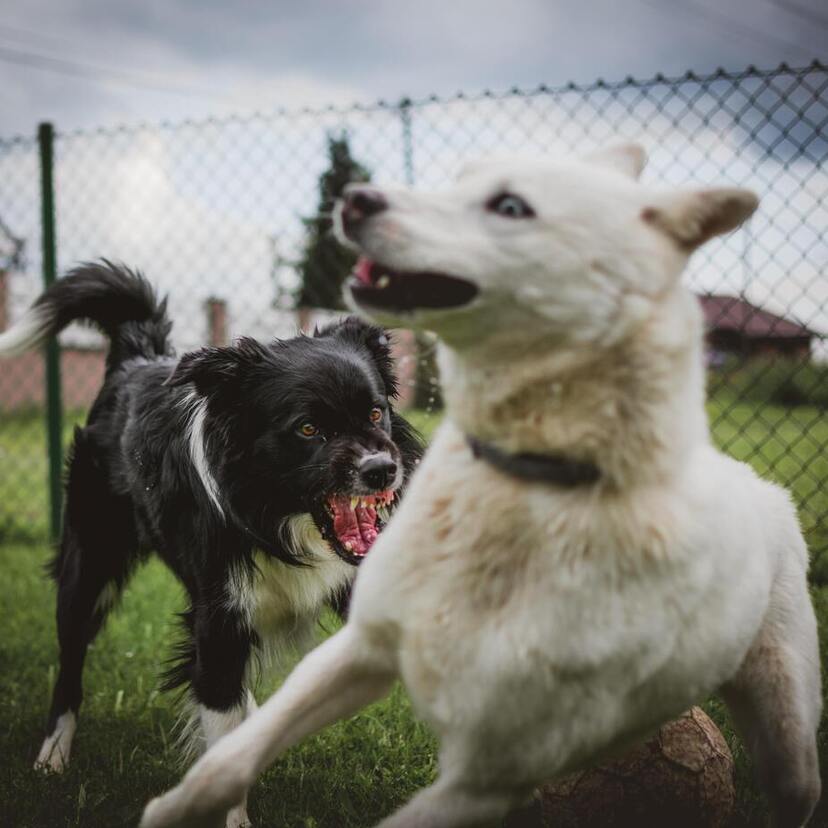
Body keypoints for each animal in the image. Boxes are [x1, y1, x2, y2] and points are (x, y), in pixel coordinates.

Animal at [0, 260, 424, 804]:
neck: (277, 518)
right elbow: (218, 714)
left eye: (375, 412)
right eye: (308, 429)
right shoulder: (218, 621)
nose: (382, 470)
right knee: (70, 666)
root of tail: (137, 358)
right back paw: (52, 757)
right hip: (88, 565)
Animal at [142, 146, 820, 824]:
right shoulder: (325, 639)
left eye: (375, 414)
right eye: (307, 428)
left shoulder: (497, 760)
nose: (383, 471)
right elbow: (232, 742)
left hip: (784, 710)